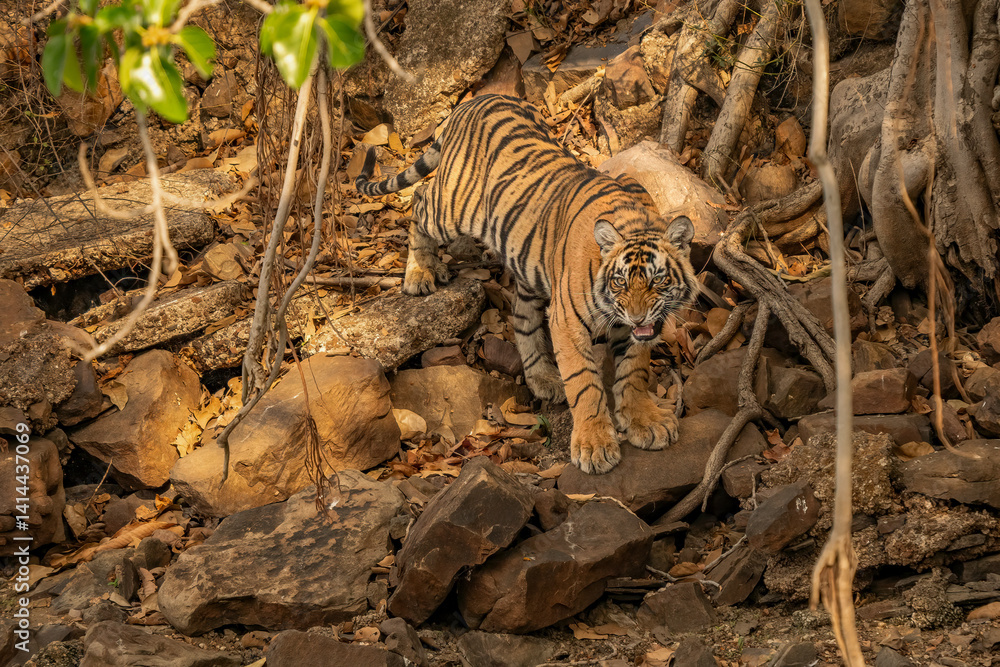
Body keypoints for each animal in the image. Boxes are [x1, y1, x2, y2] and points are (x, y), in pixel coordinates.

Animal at [356, 94, 699, 474]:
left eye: (658, 279)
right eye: (620, 281)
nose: (638, 317)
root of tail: (474, 101)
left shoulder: (636, 328)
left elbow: (634, 371)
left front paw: (645, 421)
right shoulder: (568, 322)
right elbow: (584, 382)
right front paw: (594, 446)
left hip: (529, 265)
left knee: (522, 319)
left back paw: (544, 379)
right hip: (452, 208)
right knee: (420, 199)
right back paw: (420, 274)